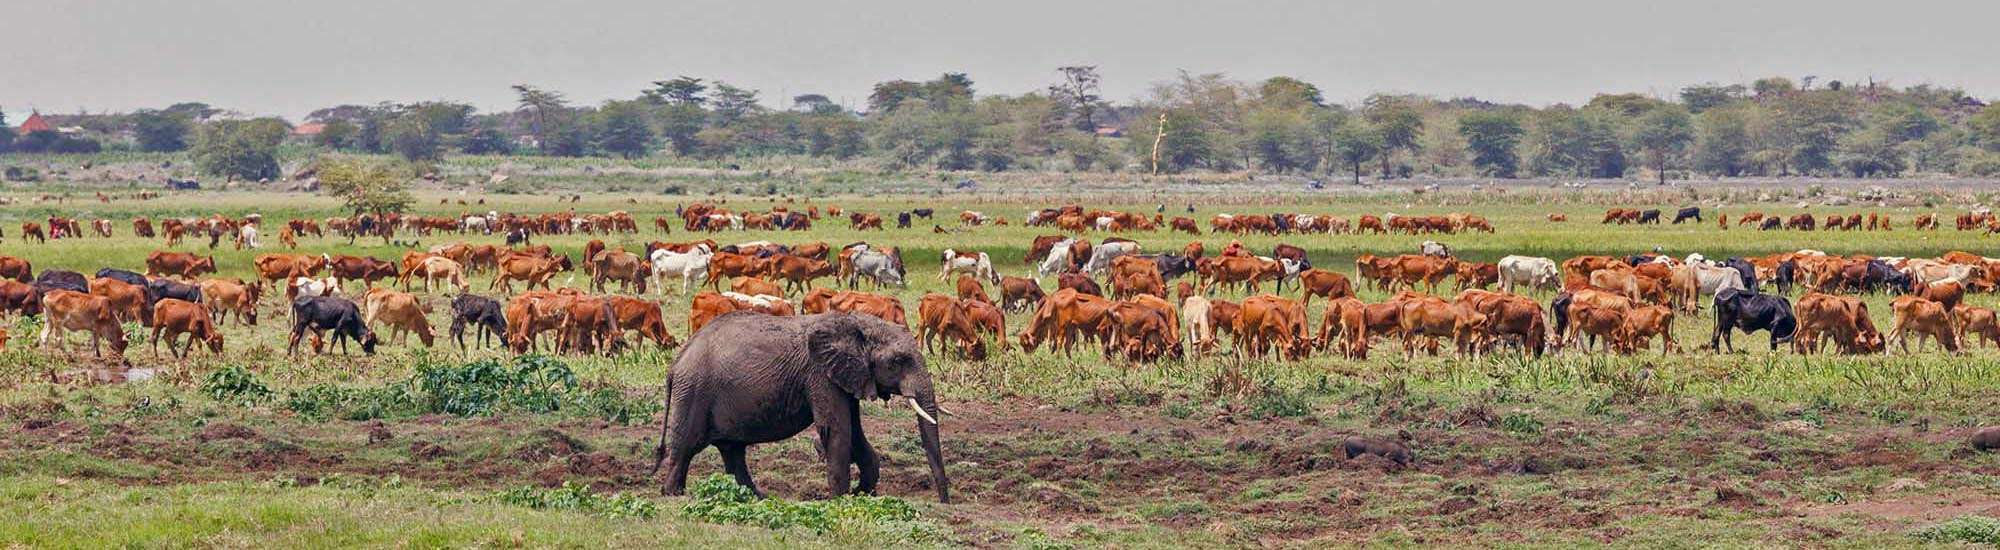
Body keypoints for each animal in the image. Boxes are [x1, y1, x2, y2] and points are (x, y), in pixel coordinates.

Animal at [651, 311, 949, 502]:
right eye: (898, 361)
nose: (944, 502)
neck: (855, 321)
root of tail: (675, 364)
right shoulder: (820, 374)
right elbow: (837, 431)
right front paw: (840, 501)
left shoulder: (847, 376)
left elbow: (856, 434)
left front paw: (860, 494)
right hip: (694, 392)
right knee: (686, 446)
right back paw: (673, 495)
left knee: (732, 451)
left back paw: (755, 498)